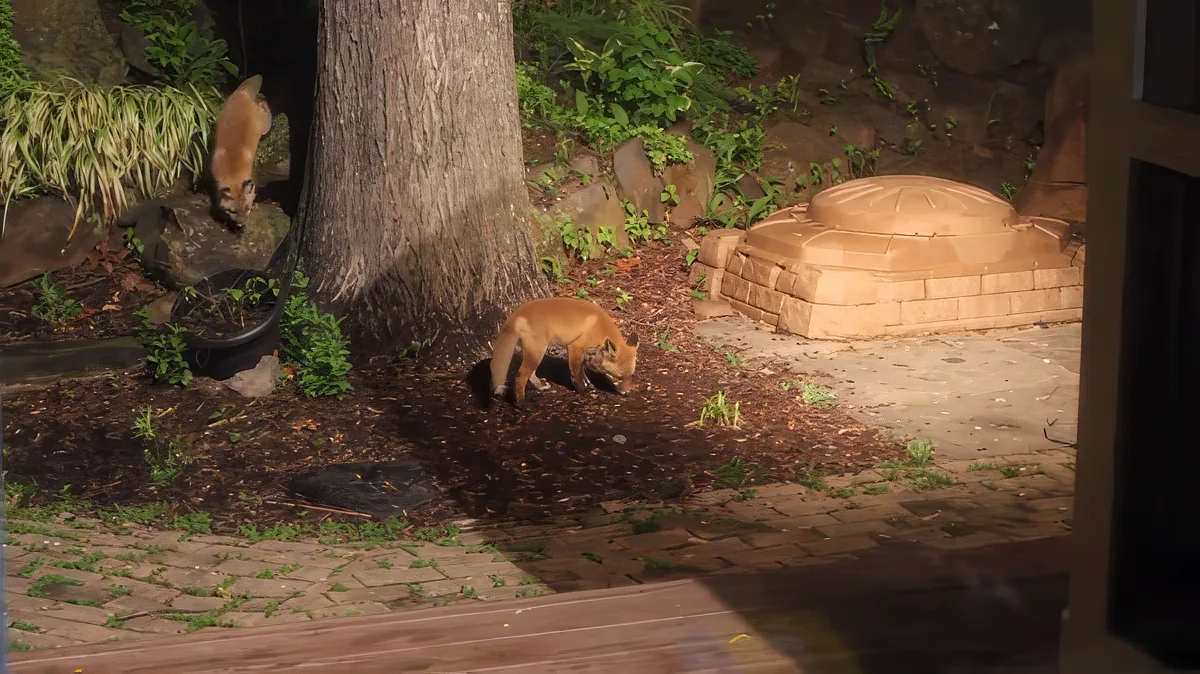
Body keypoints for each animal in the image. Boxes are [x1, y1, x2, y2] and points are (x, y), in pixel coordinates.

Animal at [210, 74, 273, 228]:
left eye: (247, 209)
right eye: (233, 211)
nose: (240, 224)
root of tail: (242, 92)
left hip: (265, 127)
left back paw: (263, 101)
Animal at [490, 297, 640, 406]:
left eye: (630, 376)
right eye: (619, 377)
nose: (628, 393)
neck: (600, 327)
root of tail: (516, 314)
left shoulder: (587, 352)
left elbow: (583, 369)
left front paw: (588, 383)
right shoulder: (575, 346)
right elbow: (575, 371)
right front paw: (582, 390)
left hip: (536, 352)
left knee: (530, 373)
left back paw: (539, 387)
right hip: (538, 351)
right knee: (520, 375)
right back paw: (520, 403)